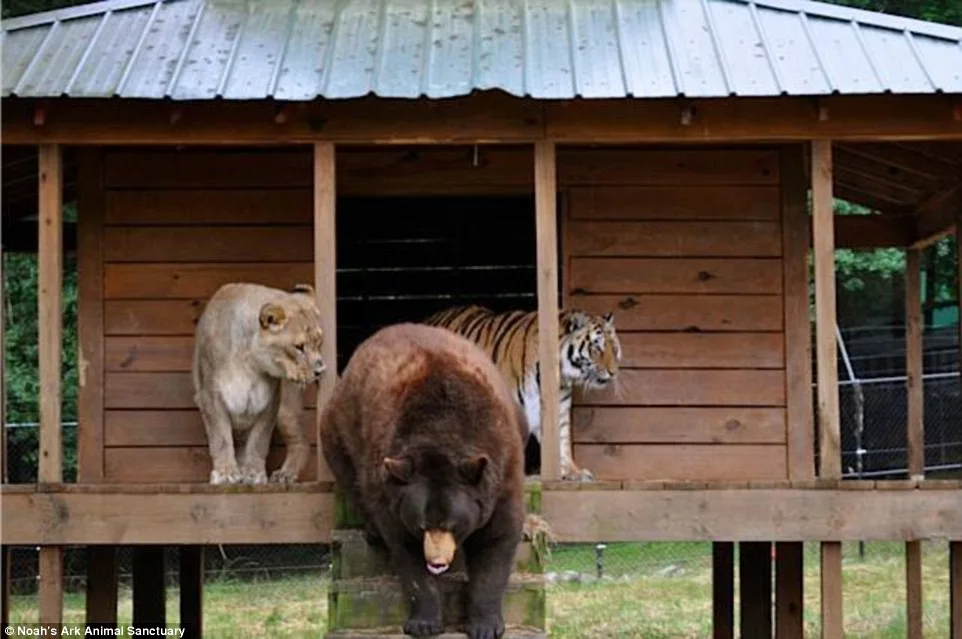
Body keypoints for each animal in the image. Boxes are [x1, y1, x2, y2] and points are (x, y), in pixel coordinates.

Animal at [191, 282, 326, 485]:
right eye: (299, 347)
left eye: (318, 342)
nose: (321, 370)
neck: (250, 364)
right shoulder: (210, 397)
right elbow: (221, 438)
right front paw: (225, 473)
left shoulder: (270, 402)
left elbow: (258, 441)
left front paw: (254, 473)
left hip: (286, 410)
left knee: (302, 442)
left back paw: (285, 474)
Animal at [319, 323, 527, 639]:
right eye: (422, 525)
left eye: (452, 524)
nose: (437, 562)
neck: (441, 430)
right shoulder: (391, 487)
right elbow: (405, 550)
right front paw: (424, 622)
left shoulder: (501, 464)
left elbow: (496, 539)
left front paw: (485, 625)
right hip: (340, 427)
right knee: (349, 473)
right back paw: (371, 528)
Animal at [422, 304, 621, 482]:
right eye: (597, 348)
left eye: (614, 348)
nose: (614, 372)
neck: (560, 375)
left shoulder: (559, 407)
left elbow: (562, 439)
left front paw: (574, 472)